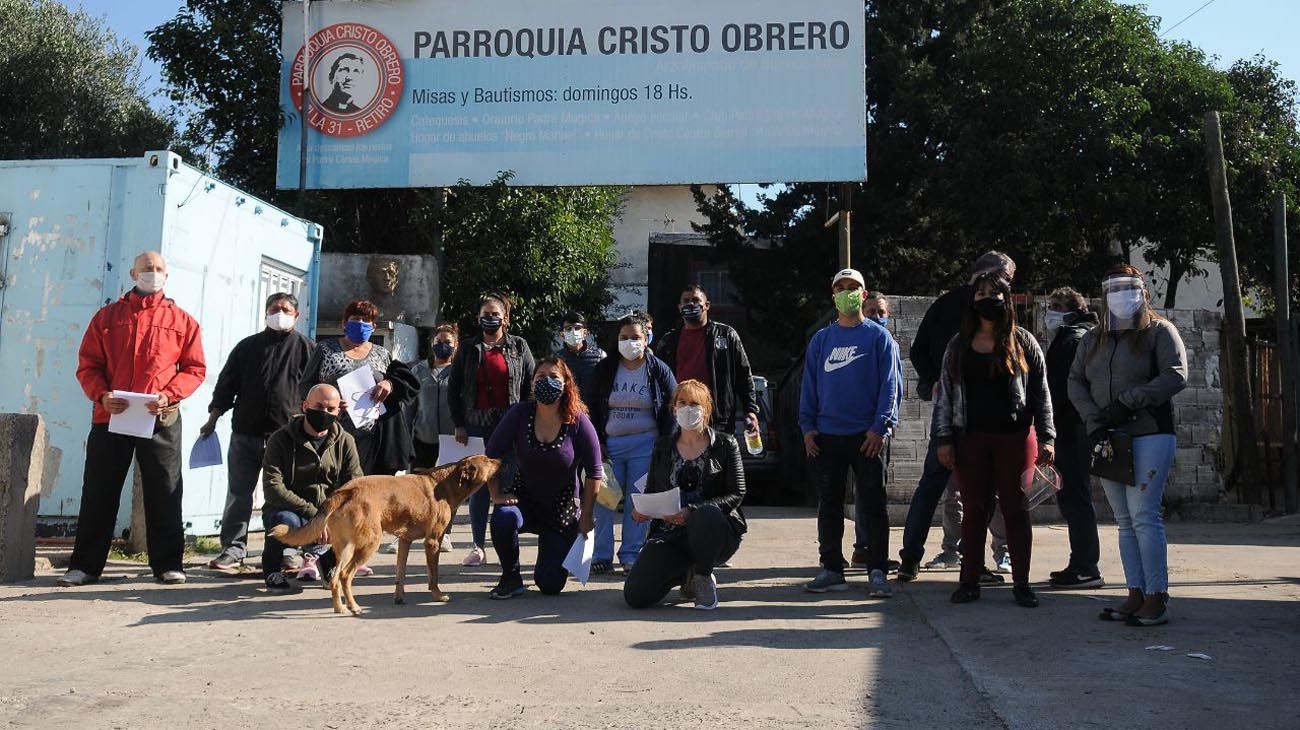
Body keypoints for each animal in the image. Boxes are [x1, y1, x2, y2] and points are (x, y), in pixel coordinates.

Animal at [269, 452, 501, 610]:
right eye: (487, 460)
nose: (501, 460)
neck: (444, 483)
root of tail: (346, 490)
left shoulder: (405, 541)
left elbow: (400, 574)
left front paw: (399, 598)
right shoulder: (433, 541)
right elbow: (433, 576)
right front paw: (438, 596)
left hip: (345, 547)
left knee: (335, 578)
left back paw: (341, 608)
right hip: (369, 544)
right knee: (345, 575)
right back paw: (354, 607)